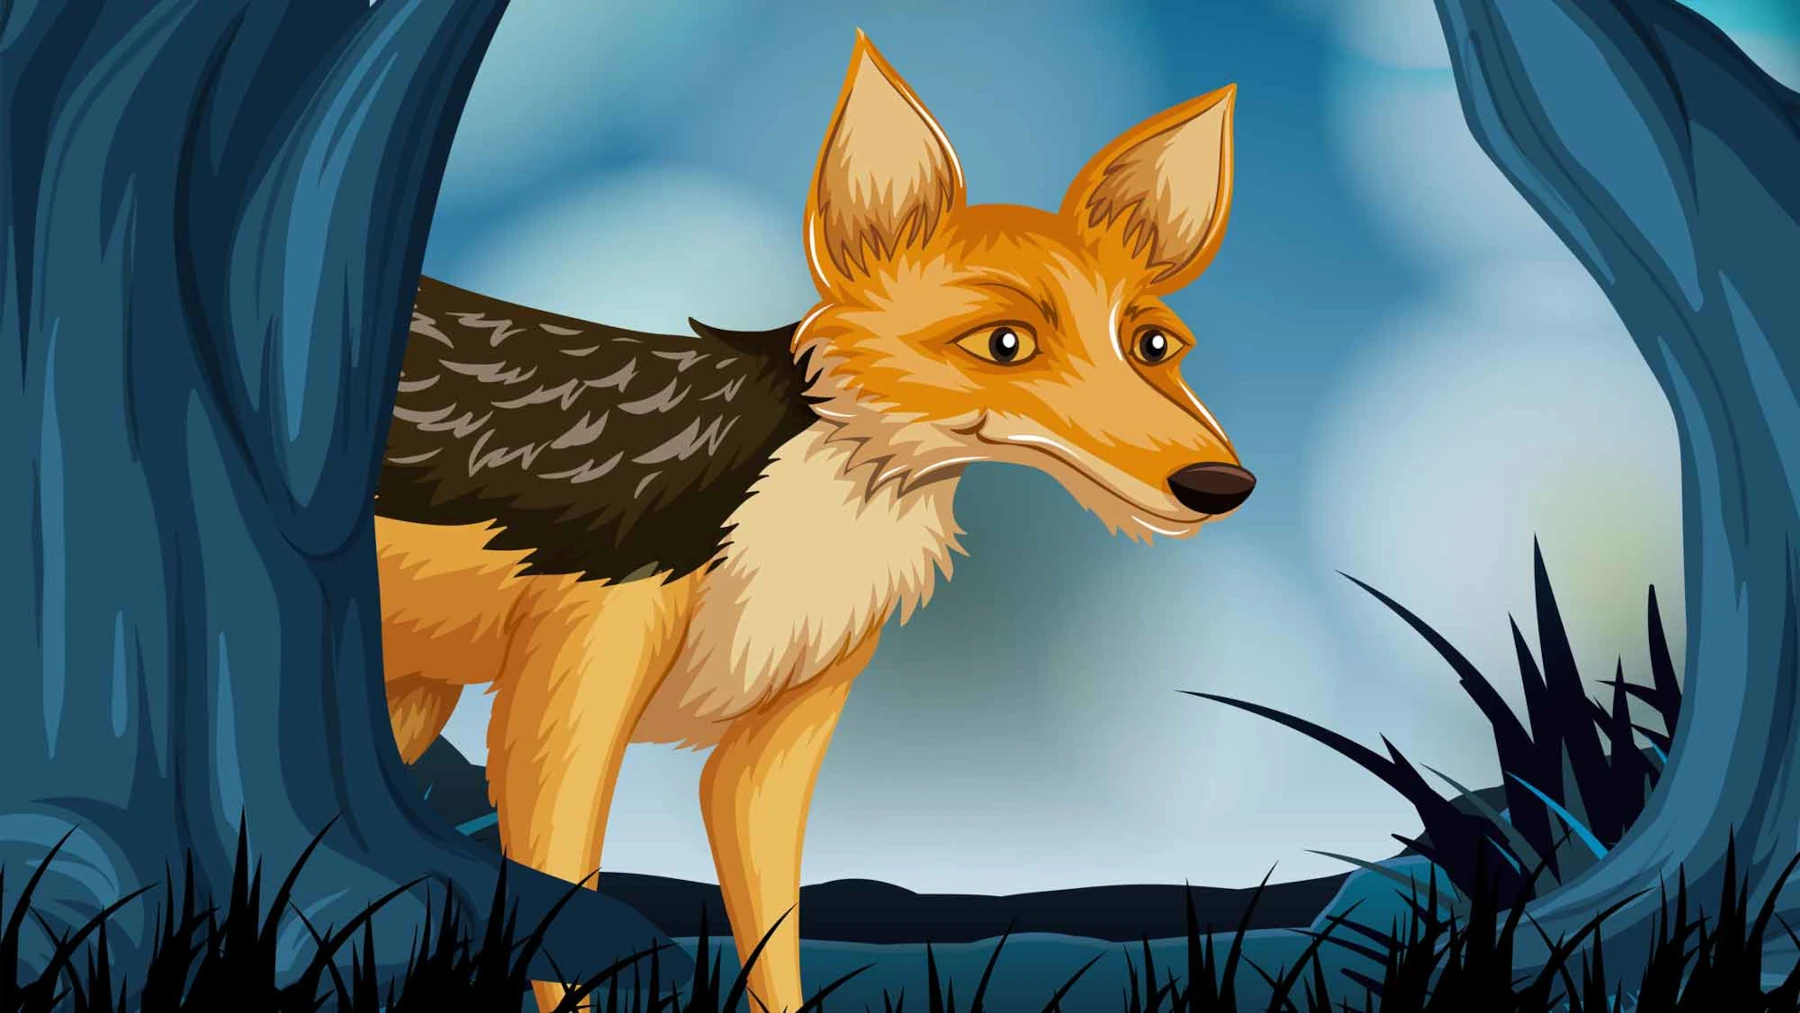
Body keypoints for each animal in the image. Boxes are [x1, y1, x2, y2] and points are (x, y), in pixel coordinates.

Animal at [376, 32, 1251, 1012]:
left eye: (1154, 344)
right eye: (1004, 343)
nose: (1222, 483)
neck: (811, 508)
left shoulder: (775, 744)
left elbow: (774, 937)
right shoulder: (565, 696)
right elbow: (566, 920)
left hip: (416, 690)